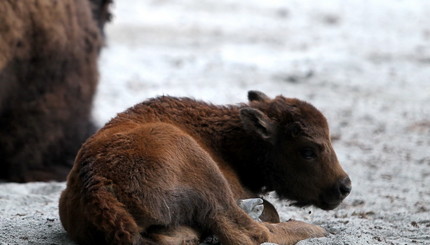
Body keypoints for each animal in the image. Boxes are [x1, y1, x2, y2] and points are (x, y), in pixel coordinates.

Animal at [58, 91, 352, 245]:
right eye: (307, 151)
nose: (344, 186)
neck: (226, 139)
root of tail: (95, 183)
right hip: (207, 177)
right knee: (250, 232)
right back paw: (314, 230)